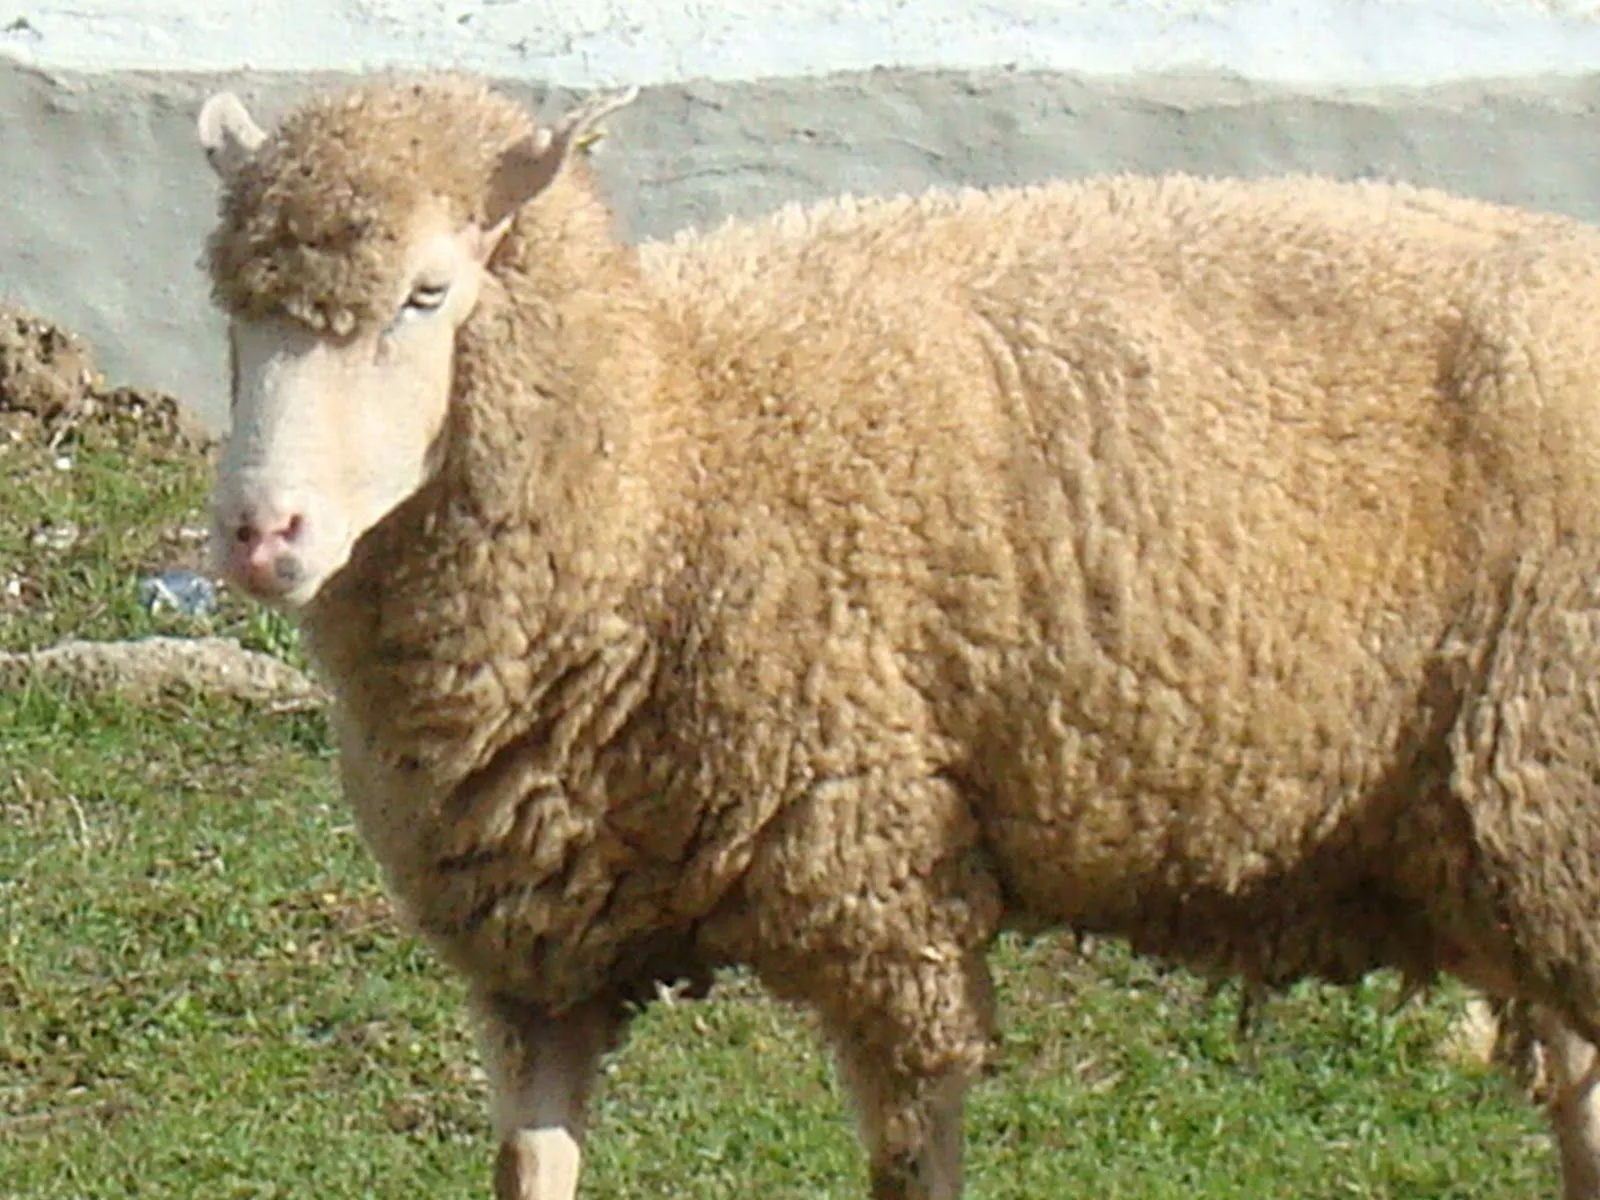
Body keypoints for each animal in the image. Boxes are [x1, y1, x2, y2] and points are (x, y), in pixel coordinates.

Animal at [200, 77, 1600, 1200]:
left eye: (426, 295)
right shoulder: (539, 942)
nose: (260, 535)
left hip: (1552, 796)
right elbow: (528, 1165)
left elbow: (909, 1159)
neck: (675, 445)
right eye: (232, 313)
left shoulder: (879, 886)